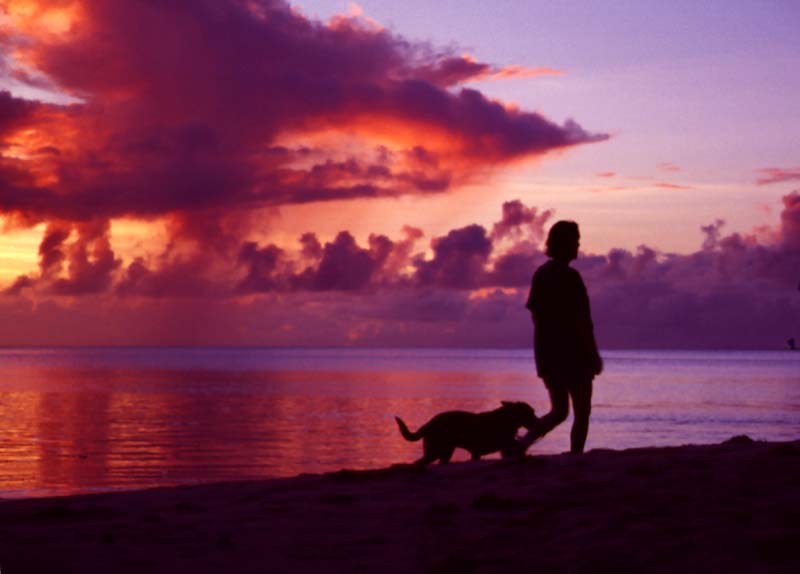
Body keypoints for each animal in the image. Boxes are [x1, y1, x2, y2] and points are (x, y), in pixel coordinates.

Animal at [396, 402, 536, 466]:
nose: (537, 421)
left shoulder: (478, 452)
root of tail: (430, 423)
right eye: (530, 413)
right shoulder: (503, 443)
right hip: (435, 451)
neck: (506, 418)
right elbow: (516, 445)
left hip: (445, 452)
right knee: (420, 462)